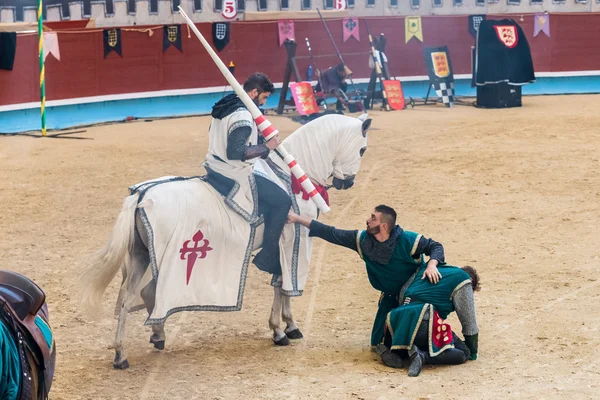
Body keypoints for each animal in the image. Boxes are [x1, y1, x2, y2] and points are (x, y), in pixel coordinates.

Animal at [79, 113, 370, 368]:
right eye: (362, 150)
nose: (348, 183)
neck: (292, 177)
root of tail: (141, 195)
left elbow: (280, 283)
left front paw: (286, 326)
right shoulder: (291, 243)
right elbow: (284, 284)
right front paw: (282, 329)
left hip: (140, 256)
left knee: (130, 298)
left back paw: (130, 349)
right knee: (148, 295)